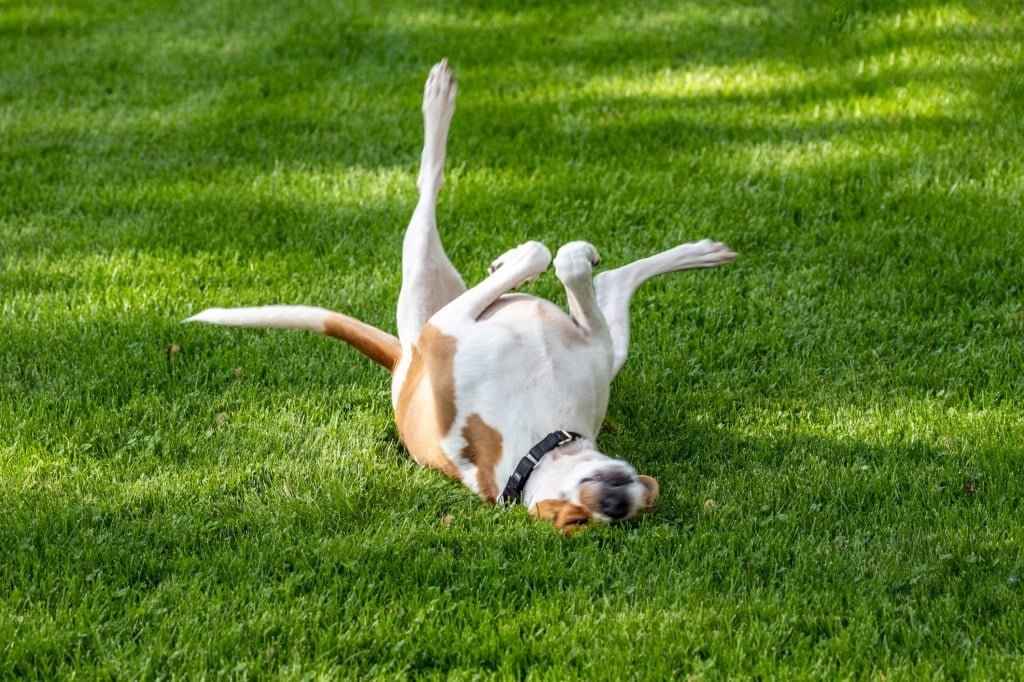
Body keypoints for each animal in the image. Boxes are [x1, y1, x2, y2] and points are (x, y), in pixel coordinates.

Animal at [182, 59, 729, 532]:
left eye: (606, 519)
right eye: (572, 519)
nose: (615, 504)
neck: (539, 440)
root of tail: (402, 361)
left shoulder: (586, 349)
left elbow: (569, 264)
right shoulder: (451, 325)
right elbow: (545, 254)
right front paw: (517, 259)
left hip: (553, 337)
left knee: (611, 280)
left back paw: (703, 253)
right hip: (429, 294)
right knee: (430, 182)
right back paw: (439, 100)